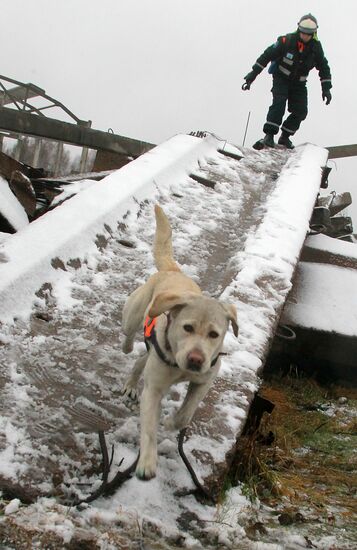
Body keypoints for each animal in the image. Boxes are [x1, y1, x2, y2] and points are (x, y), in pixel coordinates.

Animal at [121, 205, 238, 480]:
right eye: (187, 327)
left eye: (214, 334)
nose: (196, 359)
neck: (178, 365)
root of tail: (174, 271)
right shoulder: (153, 390)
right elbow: (149, 429)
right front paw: (147, 462)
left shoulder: (204, 380)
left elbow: (186, 415)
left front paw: (170, 422)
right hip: (134, 314)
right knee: (129, 336)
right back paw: (127, 351)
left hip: (151, 349)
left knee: (141, 360)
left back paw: (132, 382)